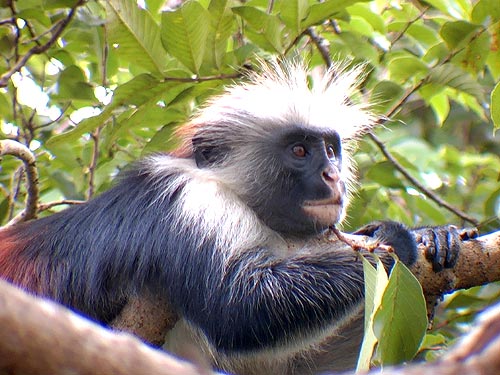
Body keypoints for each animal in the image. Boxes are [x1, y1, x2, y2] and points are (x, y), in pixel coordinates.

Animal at [0, 62, 460, 375]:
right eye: (299, 151)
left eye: (331, 150)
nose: (333, 175)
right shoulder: (189, 203)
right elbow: (236, 307)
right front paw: (396, 241)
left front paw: (431, 238)